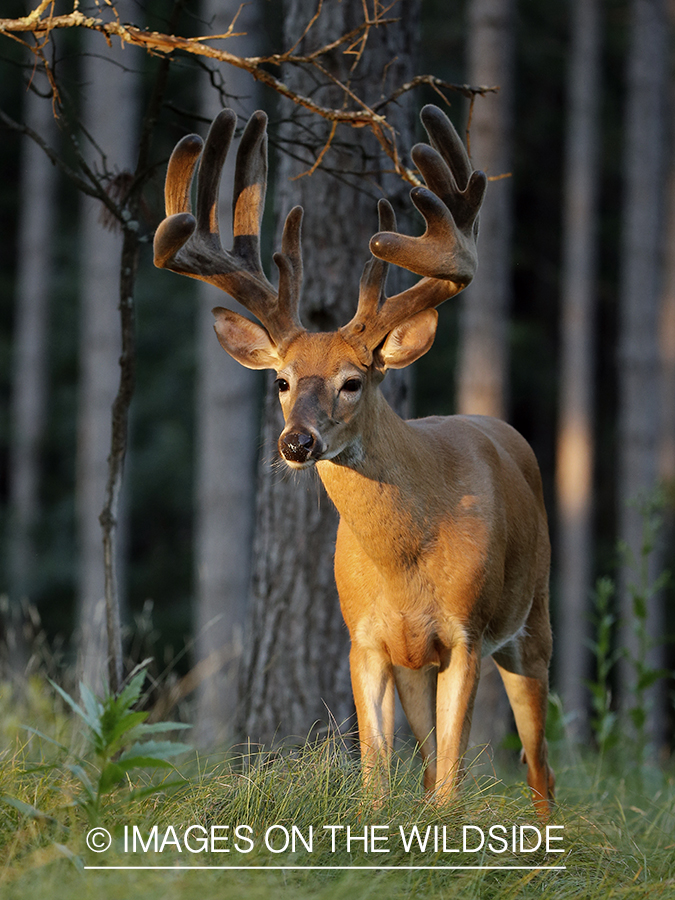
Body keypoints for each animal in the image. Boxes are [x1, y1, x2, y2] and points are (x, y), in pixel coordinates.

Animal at [156, 103, 556, 816]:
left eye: (352, 381)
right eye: (281, 381)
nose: (296, 444)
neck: (405, 560)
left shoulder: (467, 632)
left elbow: (452, 778)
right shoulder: (364, 638)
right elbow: (377, 771)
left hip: (531, 619)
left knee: (539, 766)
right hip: (416, 662)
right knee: (432, 761)